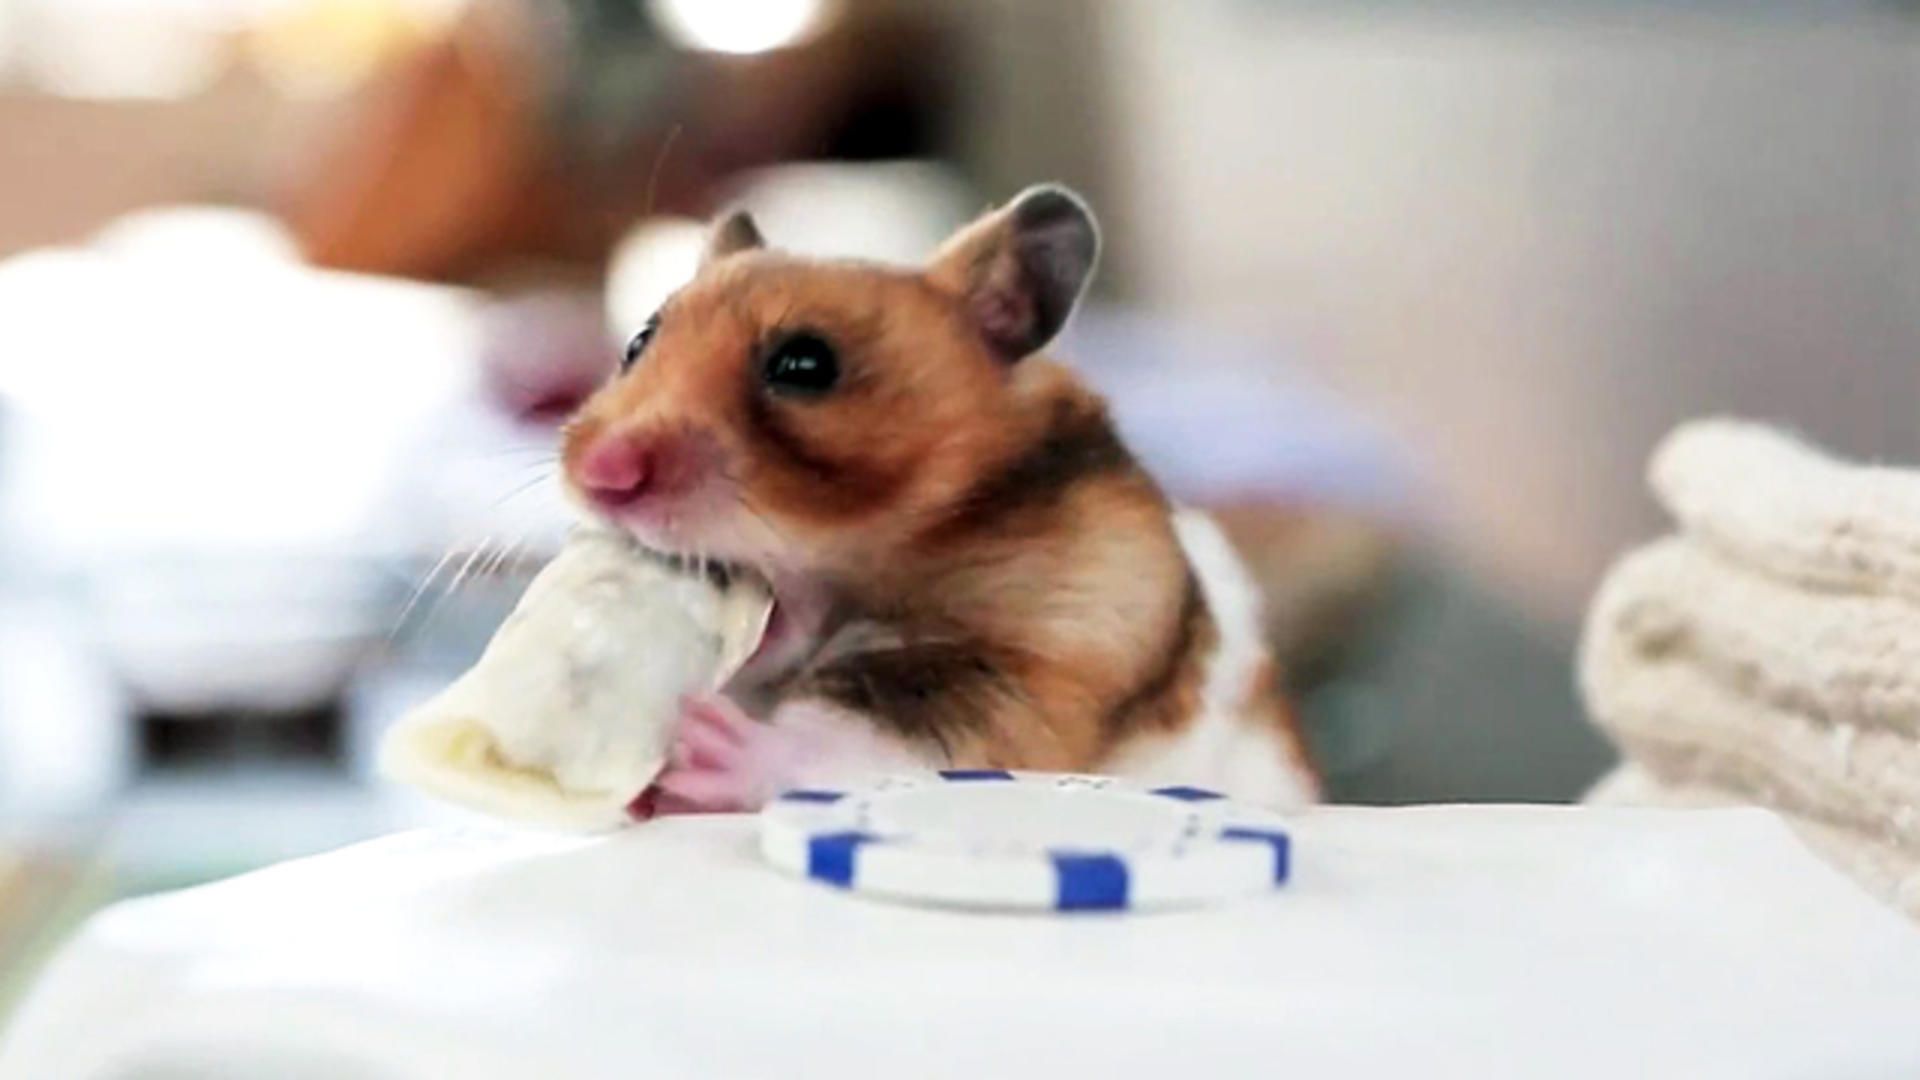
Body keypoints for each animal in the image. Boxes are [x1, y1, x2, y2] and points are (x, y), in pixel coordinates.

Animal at [560, 185, 1320, 814]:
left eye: (805, 364)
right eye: (637, 343)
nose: (599, 474)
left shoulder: (1039, 668)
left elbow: (856, 737)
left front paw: (704, 746)